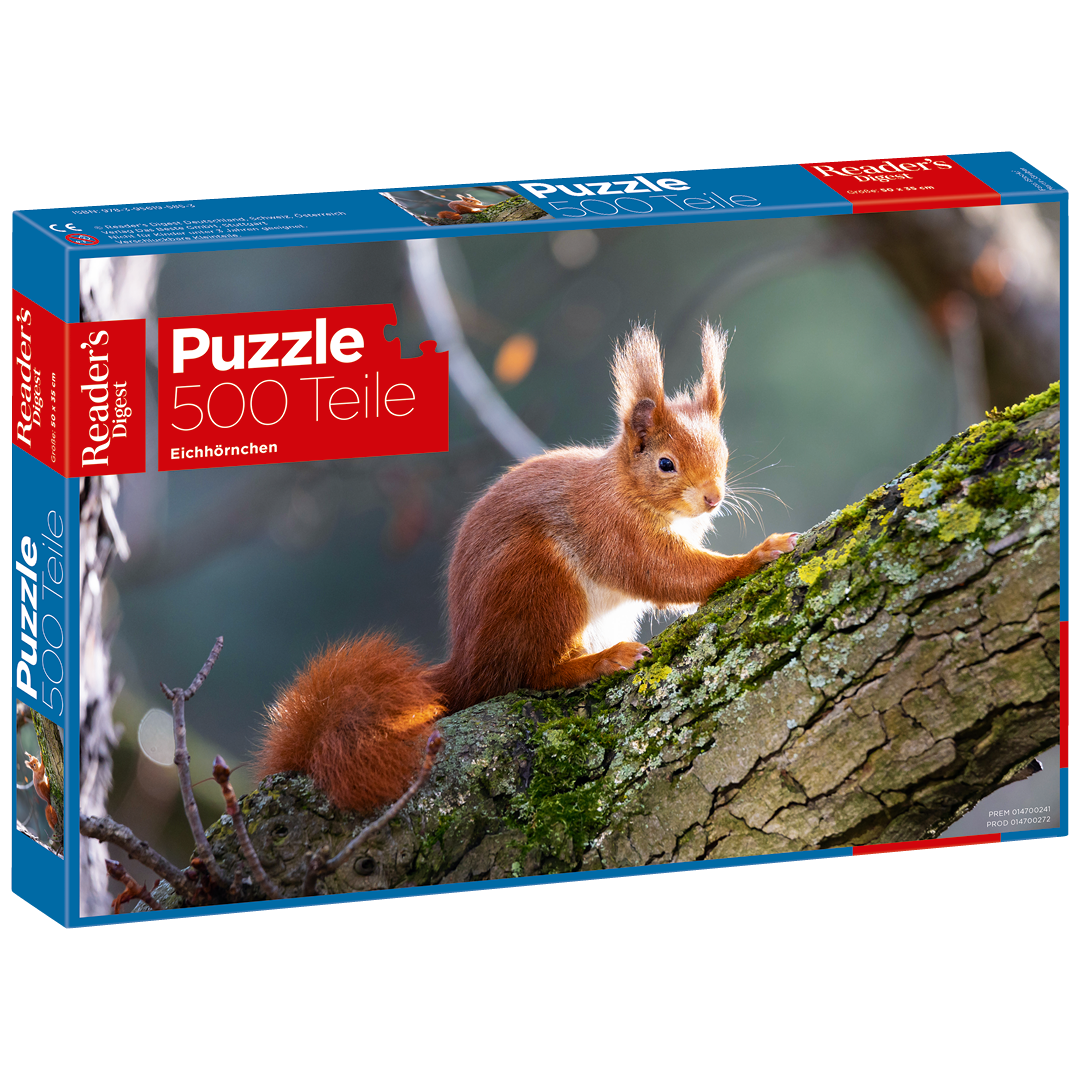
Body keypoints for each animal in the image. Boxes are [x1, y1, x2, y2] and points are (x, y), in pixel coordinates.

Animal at [256, 323, 797, 813]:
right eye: (666, 464)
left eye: (723, 451)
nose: (713, 498)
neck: (628, 488)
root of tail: (469, 664)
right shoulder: (614, 532)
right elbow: (667, 573)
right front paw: (756, 555)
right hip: (541, 584)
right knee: (530, 674)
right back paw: (600, 661)